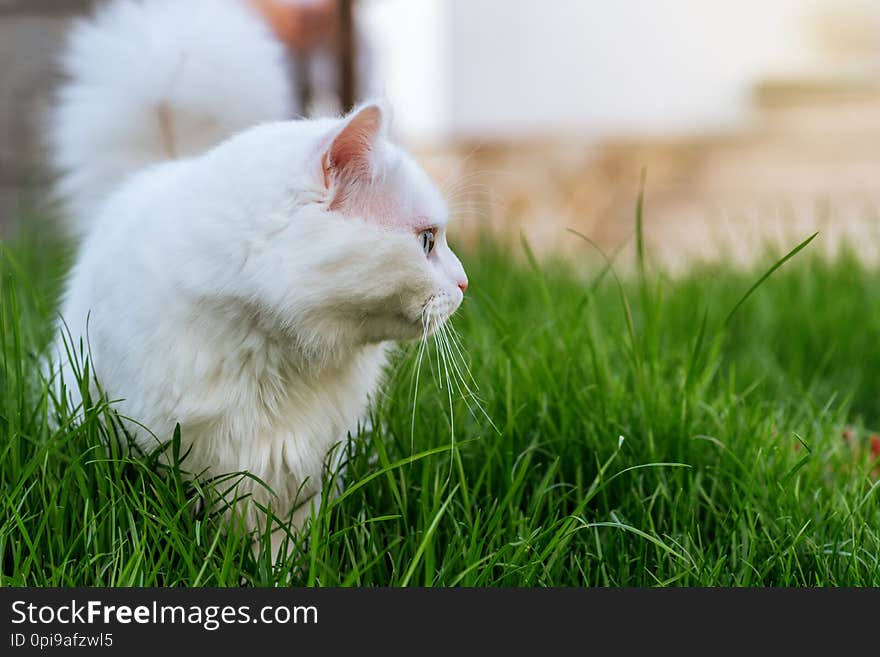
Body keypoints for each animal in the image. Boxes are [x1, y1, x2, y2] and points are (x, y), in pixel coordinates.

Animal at [46, 1, 468, 552]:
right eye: (427, 242)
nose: (464, 283)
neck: (279, 355)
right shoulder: (181, 453)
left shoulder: (311, 463)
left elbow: (290, 537)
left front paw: (291, 562)